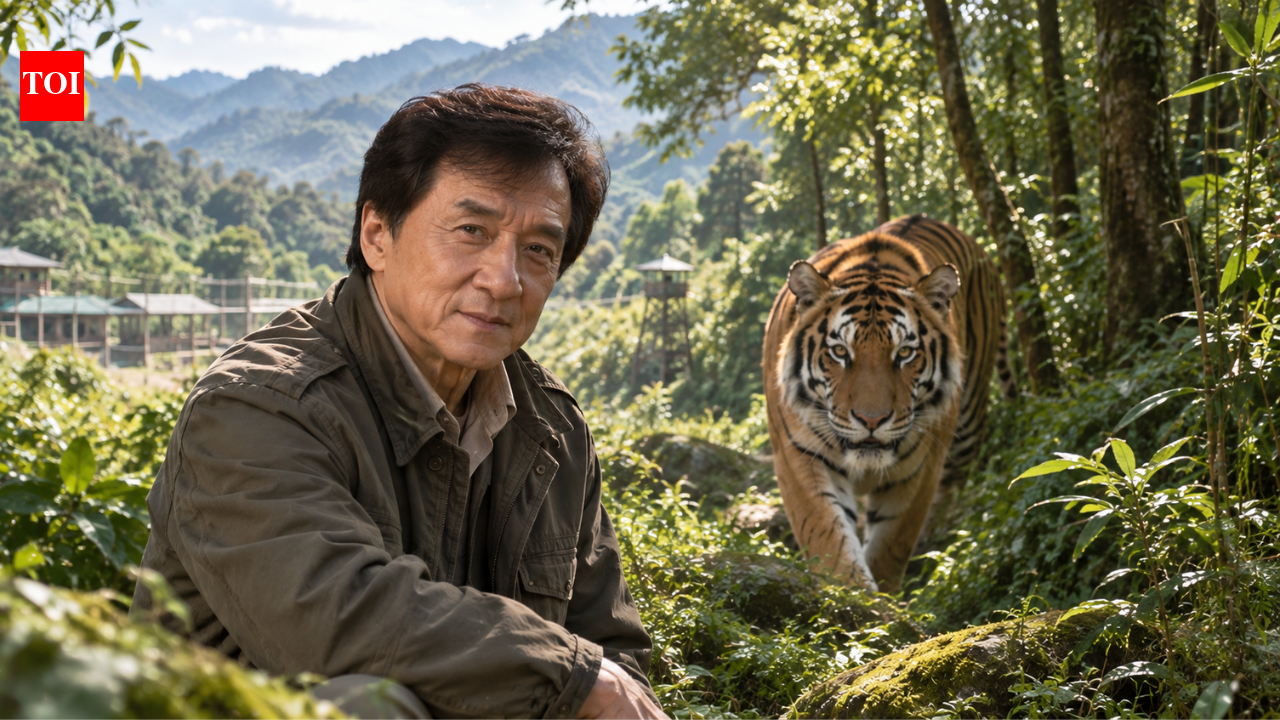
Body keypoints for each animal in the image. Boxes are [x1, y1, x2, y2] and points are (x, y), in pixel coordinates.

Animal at [762, 214, 1012, 592]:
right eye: (840, 352)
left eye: (904, 353)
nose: (871, 420)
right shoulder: (798, 456)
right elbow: (827, 535)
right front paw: (852, 597)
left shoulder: (920, 467)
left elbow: (891, 544)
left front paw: (884, 599)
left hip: (967, 425)